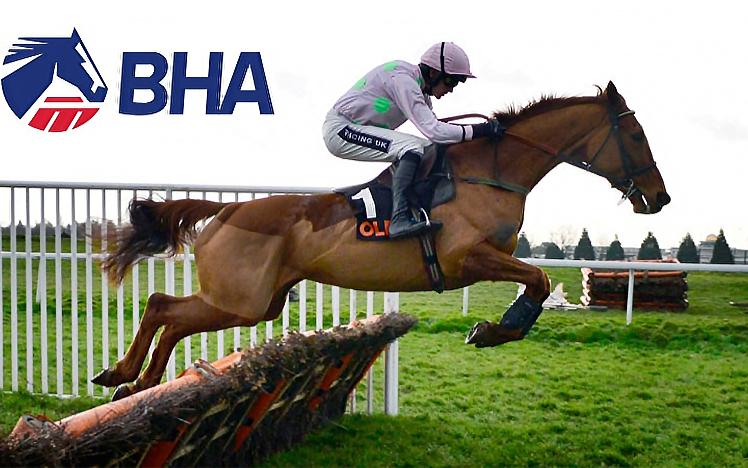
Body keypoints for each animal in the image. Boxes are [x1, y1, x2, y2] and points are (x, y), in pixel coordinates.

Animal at [95, 82, 672, 400]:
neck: (490, 173)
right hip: (242, 299)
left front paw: (495, 328)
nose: (659, 197)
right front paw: (493, 330)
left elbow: (536, 279)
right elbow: (541, 278)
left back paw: (131, 378)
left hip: (256, 302)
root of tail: (227, 209)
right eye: (637, 135)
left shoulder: (491, 259)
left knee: (166, 309)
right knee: (164, 306)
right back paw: (130, 376)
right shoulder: (468, 258)